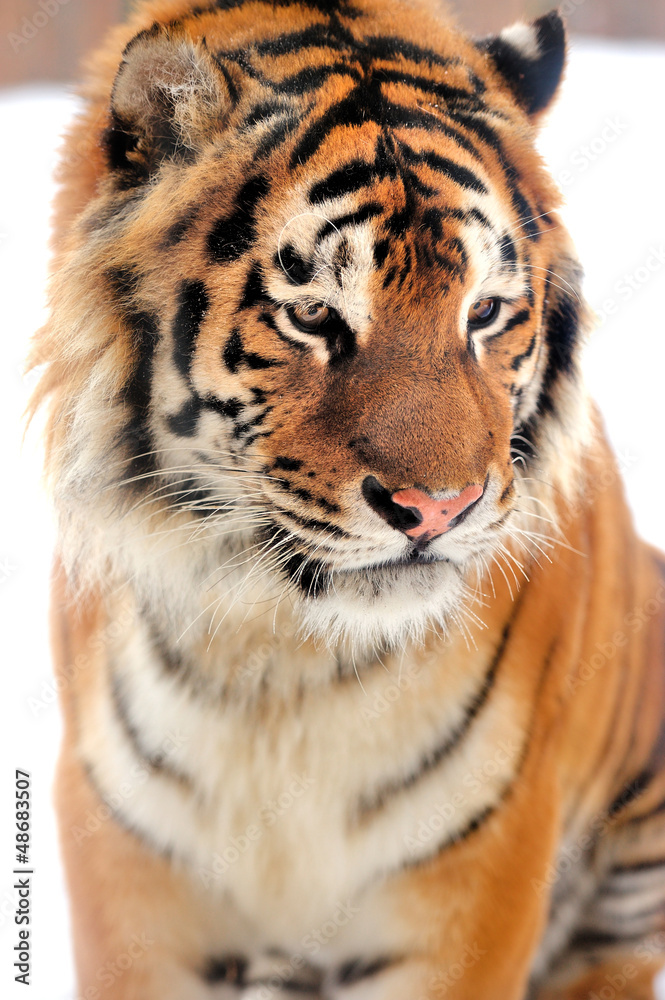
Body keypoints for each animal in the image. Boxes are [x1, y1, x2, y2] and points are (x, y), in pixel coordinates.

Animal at [29, 0, 665, 997]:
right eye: (312, 316)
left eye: (483, 313)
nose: (439, 508)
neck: (280, 669)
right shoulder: (130, 871)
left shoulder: (469, 881)